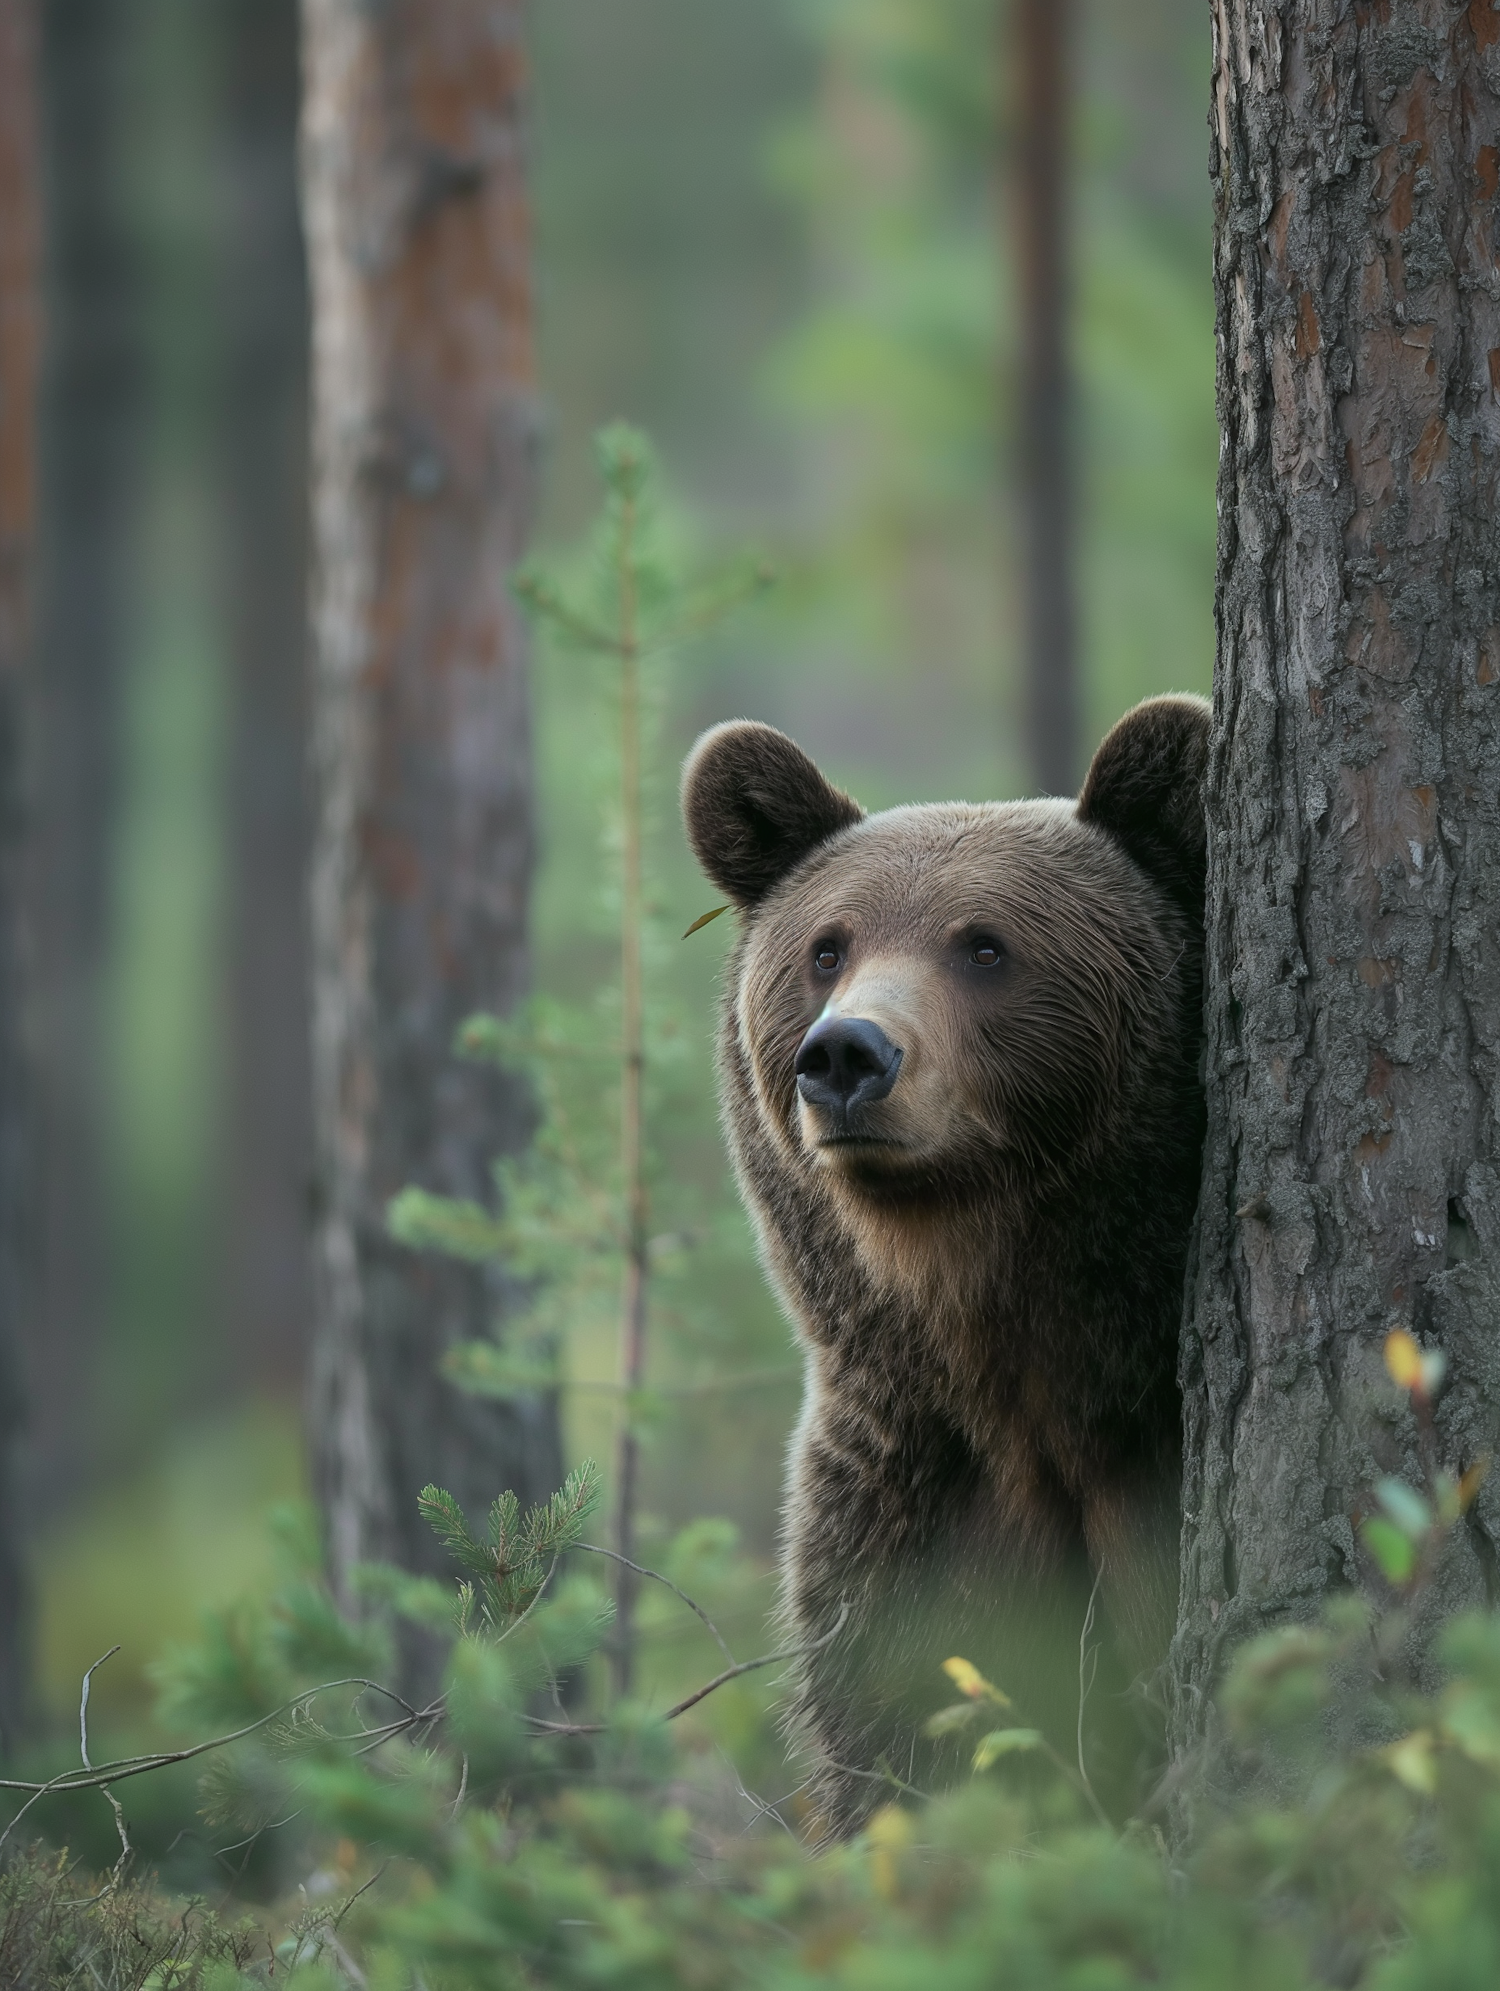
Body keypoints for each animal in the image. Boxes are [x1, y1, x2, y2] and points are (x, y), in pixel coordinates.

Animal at [685, 700, 1211, 1831]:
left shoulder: (1149, 1470)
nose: (846, 1054)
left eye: (984, 944)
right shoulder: (905, 1501)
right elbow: (902, 1743)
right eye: (827, 947)